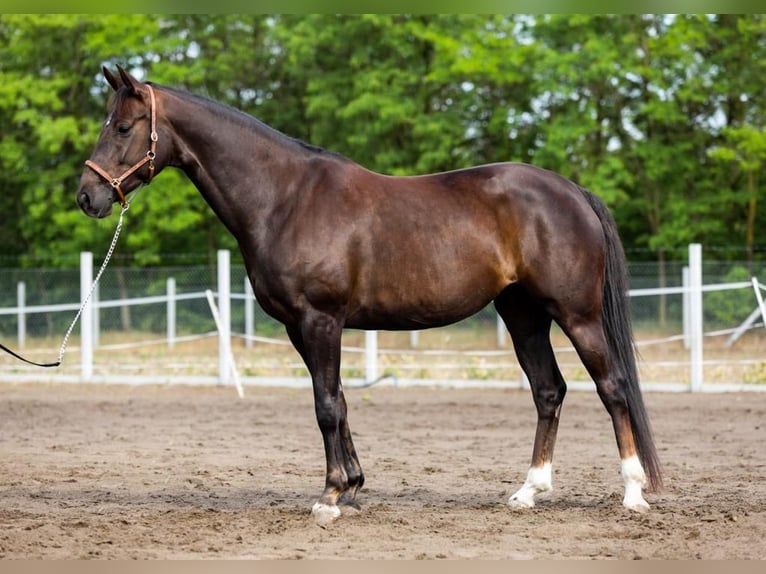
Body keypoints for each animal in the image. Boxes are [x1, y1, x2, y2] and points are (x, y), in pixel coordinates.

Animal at [79, 66, 664, 528]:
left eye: (124, 126)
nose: (88, 196)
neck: (285, 198)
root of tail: (572, 192)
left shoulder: (320, 320)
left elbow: (325, 406)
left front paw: (331, 495)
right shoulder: (300, 328)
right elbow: (338, 400)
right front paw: (354, 486)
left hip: (577, 315)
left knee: (612, 387)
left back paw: (632, 493)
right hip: (523, 316)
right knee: (548, 391)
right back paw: (528, 491)